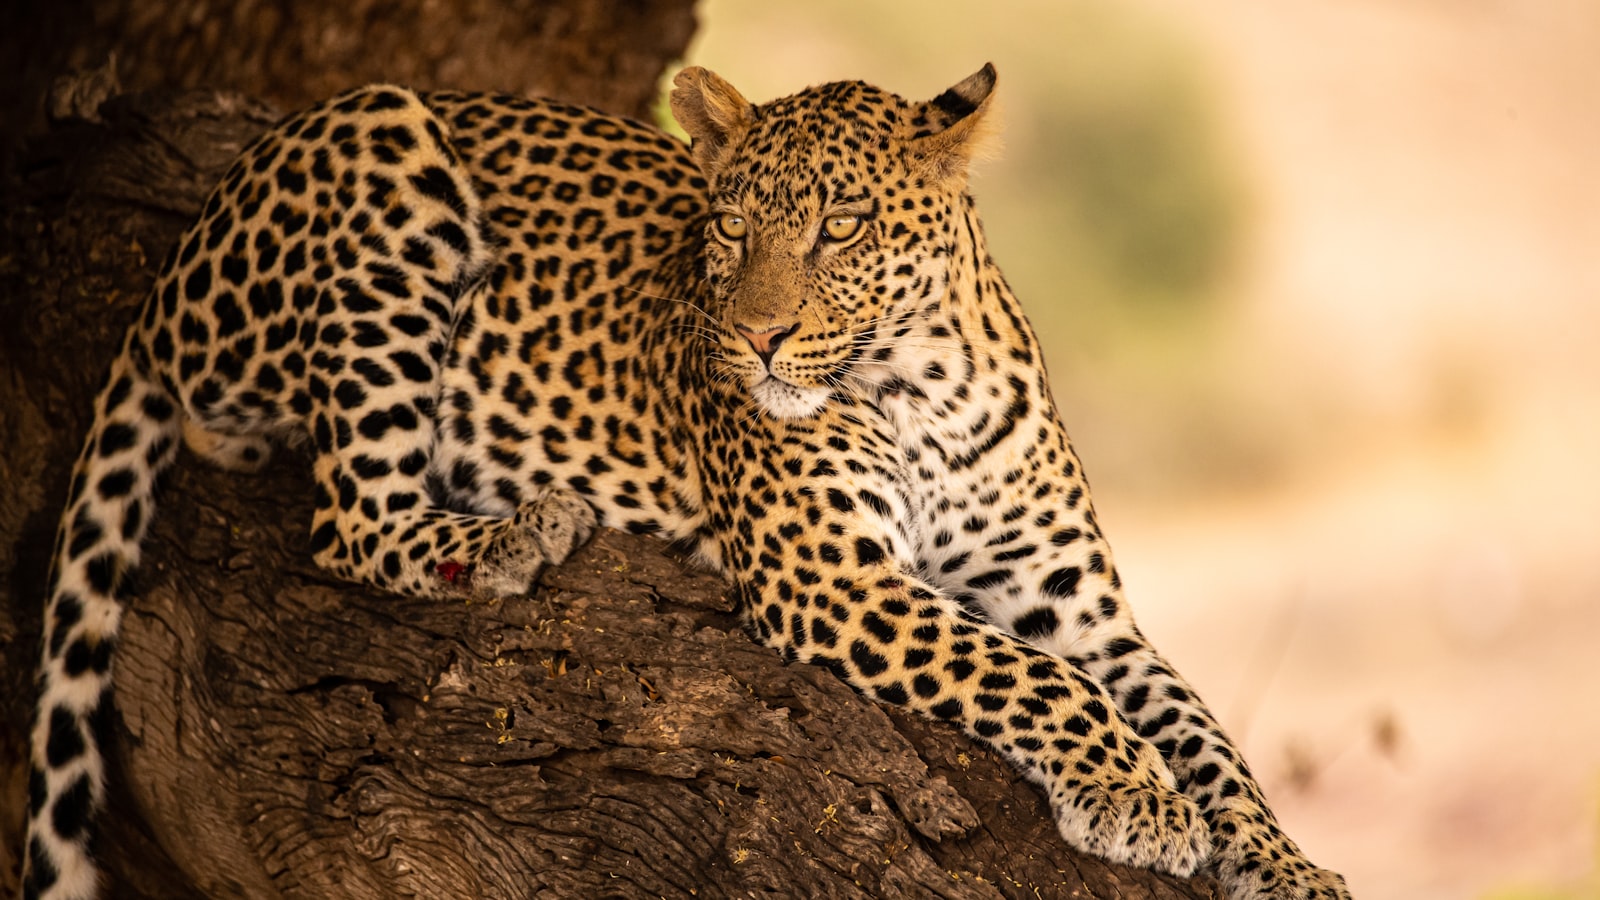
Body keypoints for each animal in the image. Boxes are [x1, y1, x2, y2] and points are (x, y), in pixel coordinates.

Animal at [23, 64, 1351, 899]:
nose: (755, 339)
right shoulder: (835, 579)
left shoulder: (1088, 614)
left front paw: (1284, 864)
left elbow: (1205, 732)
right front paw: (1133, 793)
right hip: (379, 144)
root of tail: (174, 265)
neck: (928, 383)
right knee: (346, 515)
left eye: (840, 228)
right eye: (729, 227)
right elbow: (1024, 674)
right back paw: (515, 532)